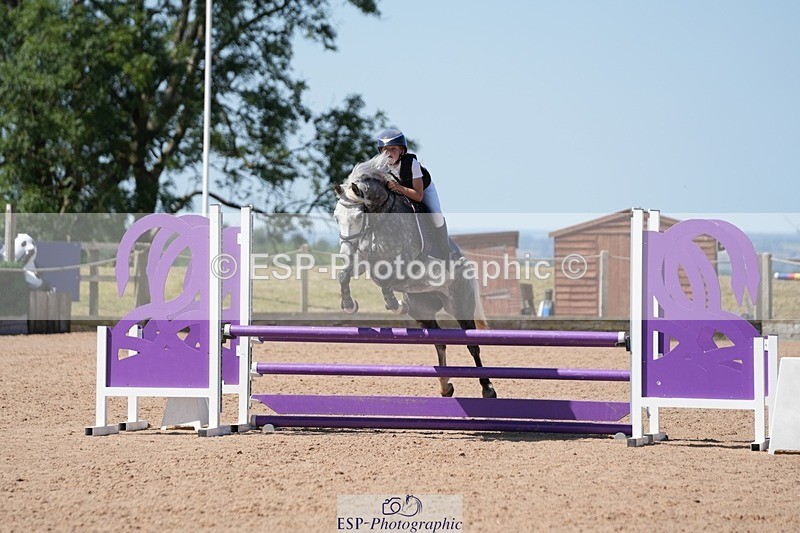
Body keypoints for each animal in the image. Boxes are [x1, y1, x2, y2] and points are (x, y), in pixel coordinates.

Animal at [333, 153, 497, 399]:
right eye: (336, 217)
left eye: (359, 216)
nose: (344, 252)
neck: (379, 221)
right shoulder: (362, 260)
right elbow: (346, 275)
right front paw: (349, 304)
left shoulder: (405, 264)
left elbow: (386, 282)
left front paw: (394, 304)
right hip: (423, 310)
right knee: (439, 342)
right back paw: (445, 385)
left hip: (460, 304)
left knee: (472, 345)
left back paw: (487, 388)